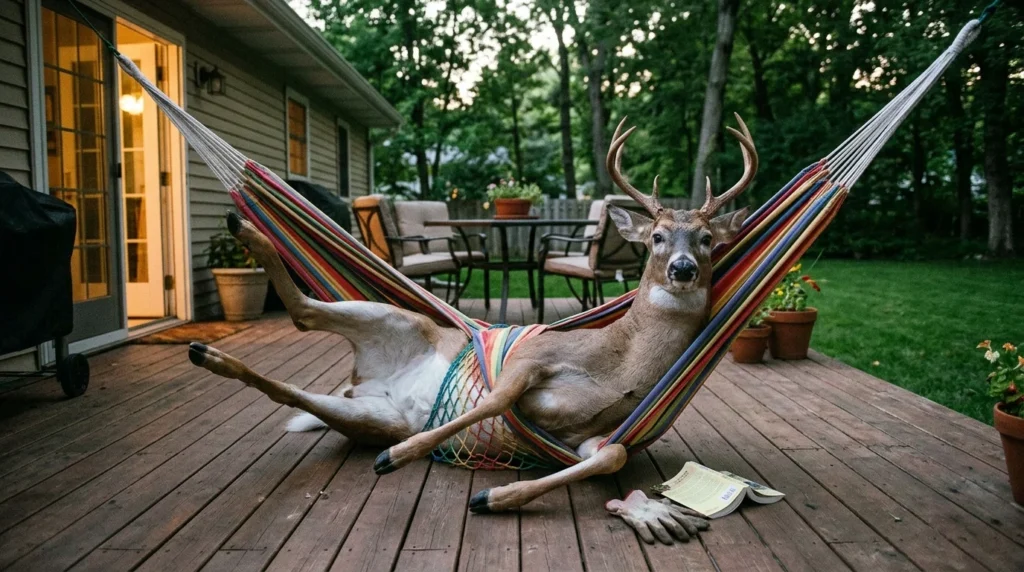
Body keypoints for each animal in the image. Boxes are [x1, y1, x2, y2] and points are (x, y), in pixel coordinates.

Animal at [187, 115, 758, 545]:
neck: (621, 364)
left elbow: (611, 455)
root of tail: (362, 381)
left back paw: (206, 352)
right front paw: (401, 460)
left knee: (294, 386)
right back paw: (243, 229)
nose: (682, 268)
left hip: (369, 415)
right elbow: (496, 400)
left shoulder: (592, 436)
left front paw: (493, 498)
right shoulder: (535, 353)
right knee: (305, 309)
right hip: (403, 316)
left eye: (707, 239)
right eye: (657, 236)